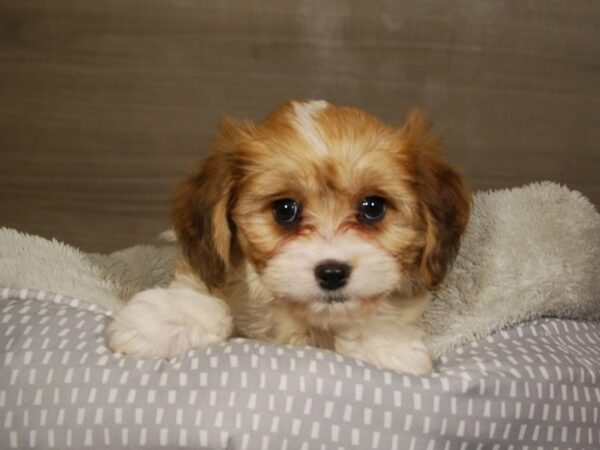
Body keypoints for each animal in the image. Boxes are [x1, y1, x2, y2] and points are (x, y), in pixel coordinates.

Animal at [109, 100, 474, 374]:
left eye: (373, 207)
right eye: (285, 210)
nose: (332, 273)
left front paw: (383, 347)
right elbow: (209, 299)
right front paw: (164, 319)